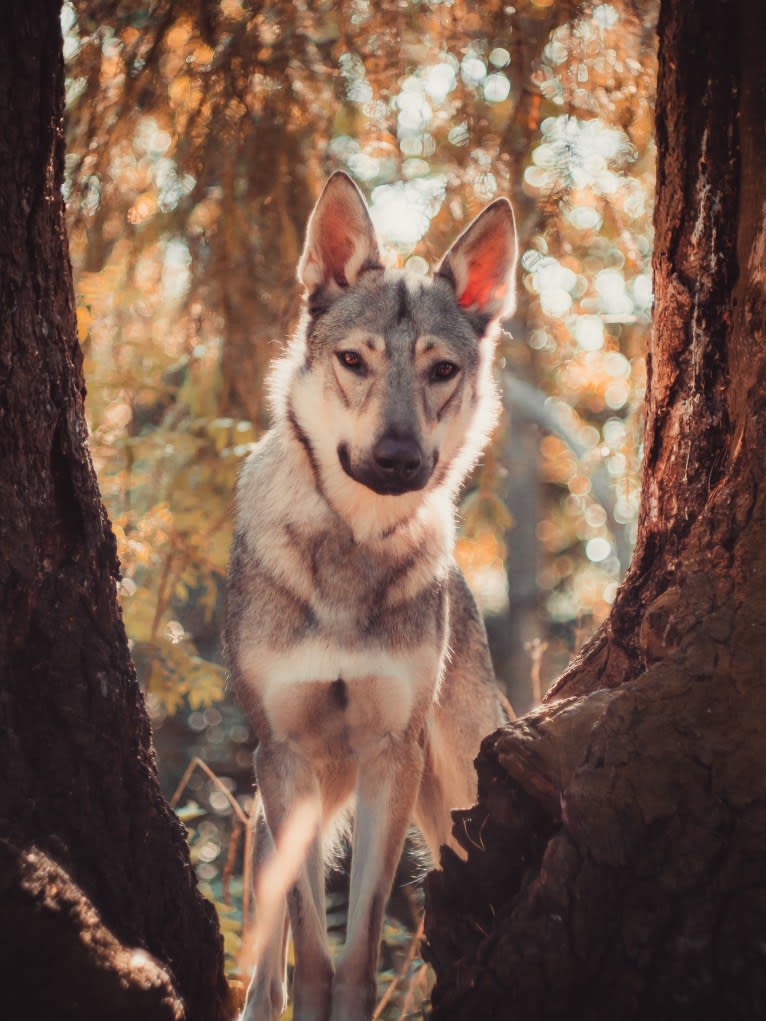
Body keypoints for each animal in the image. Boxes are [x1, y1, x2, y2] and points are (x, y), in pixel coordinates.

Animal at [224, 173, 518, 1021]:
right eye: (354, 360)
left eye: (441, 371)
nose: (396, 458)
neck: (352, 554)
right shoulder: (285, 756)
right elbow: (311, 952)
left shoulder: (394, 754)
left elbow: (356, 951)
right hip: (274, 810)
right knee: (266, 964)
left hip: (455, 784)